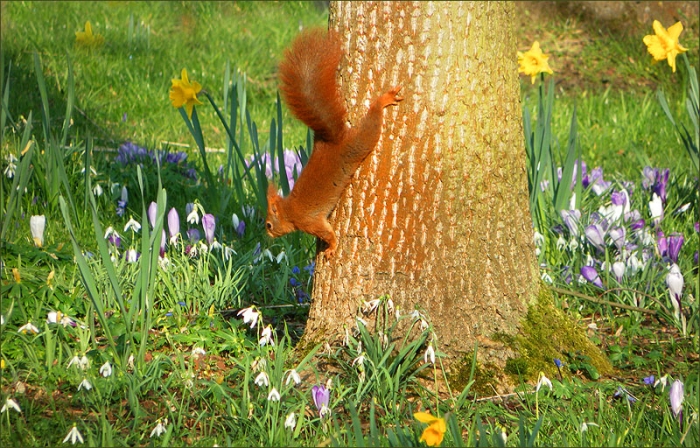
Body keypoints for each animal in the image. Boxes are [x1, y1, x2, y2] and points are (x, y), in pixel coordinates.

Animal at [265, 29, 403, 258]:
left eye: (268, 224)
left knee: (371, 126)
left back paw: (382, 100)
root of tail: (333, 141)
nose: (266, 234)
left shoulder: (310, 221)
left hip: (358, 144)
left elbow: (328, 233)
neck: (288, 211)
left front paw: (331, 247)